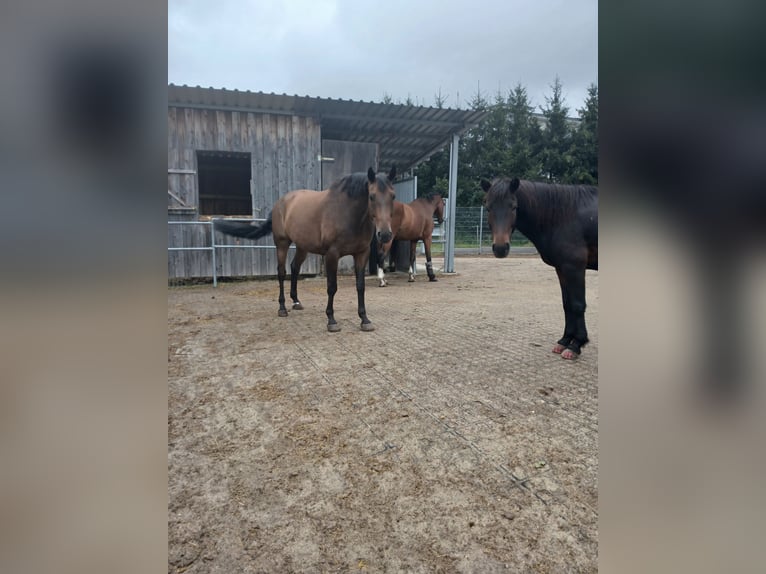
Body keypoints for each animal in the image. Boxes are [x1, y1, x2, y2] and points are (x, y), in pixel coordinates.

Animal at [216, 168, 396, 332]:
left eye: (393, 196)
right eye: (371, 196)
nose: (385, 234)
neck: (347, 213)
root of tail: (280, 203)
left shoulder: (361, 253)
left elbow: (360, 286)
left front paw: (364, 319)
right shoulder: (332, 254)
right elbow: (332, 287)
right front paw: (331, 320)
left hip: (302, 247)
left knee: (295, 267)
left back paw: (296, 301)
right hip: (282, 244)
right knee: (281, 273)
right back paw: (282, 308)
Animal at [480, 178, 600, 362]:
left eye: (513, 206)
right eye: (488, 207)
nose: (500, 248)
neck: (564, 216)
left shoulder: (575, 268)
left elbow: (578, 305)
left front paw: (576, 345)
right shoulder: (562, 269)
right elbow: (567, 304)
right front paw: (564, 341)